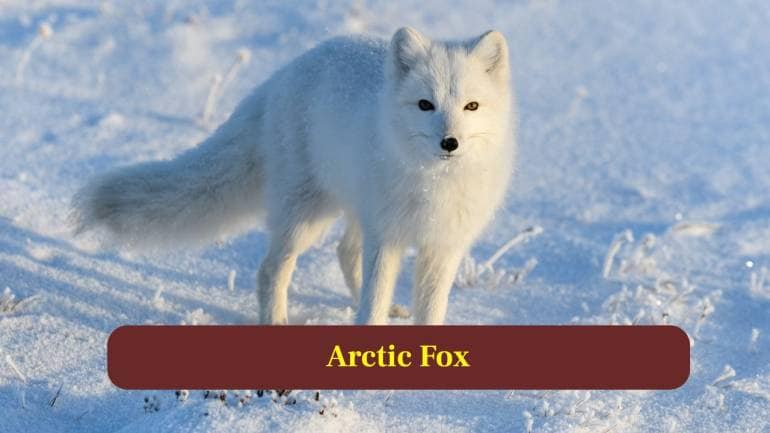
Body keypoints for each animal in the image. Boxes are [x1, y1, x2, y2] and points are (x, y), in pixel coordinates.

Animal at [72, 27, 515, 325]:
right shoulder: (387, 237)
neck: (434, 184)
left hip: (351, 207)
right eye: (425, 105)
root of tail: (282, 74)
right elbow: (371, 302)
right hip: (305, 216)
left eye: (472, 106)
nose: (450, 142)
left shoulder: (444, 245)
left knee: (344, 252)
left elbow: (431, 307)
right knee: (271, 270)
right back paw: (277, 321)